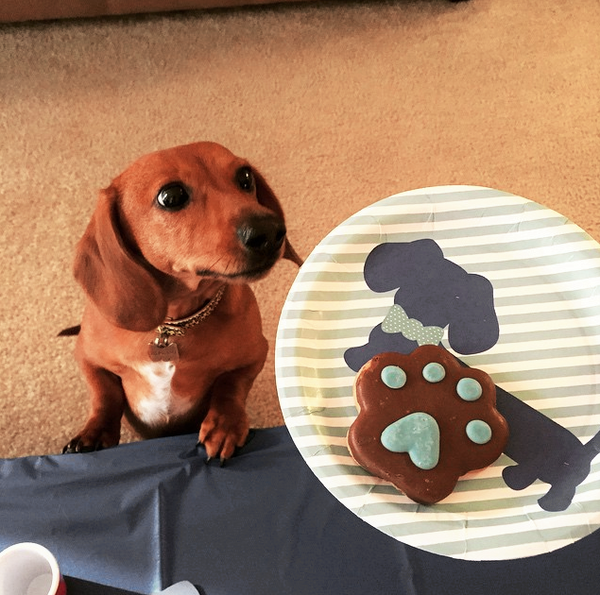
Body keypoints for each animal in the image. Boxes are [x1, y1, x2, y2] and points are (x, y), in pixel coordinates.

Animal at [63, 143, 302, 460]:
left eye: (245, 177)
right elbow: (105, 394)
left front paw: (225, 425)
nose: (271, 231)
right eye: (171, 196)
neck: (172, 326)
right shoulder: (87, 357)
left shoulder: (255, 355)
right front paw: (95, 432)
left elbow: (231, 386)